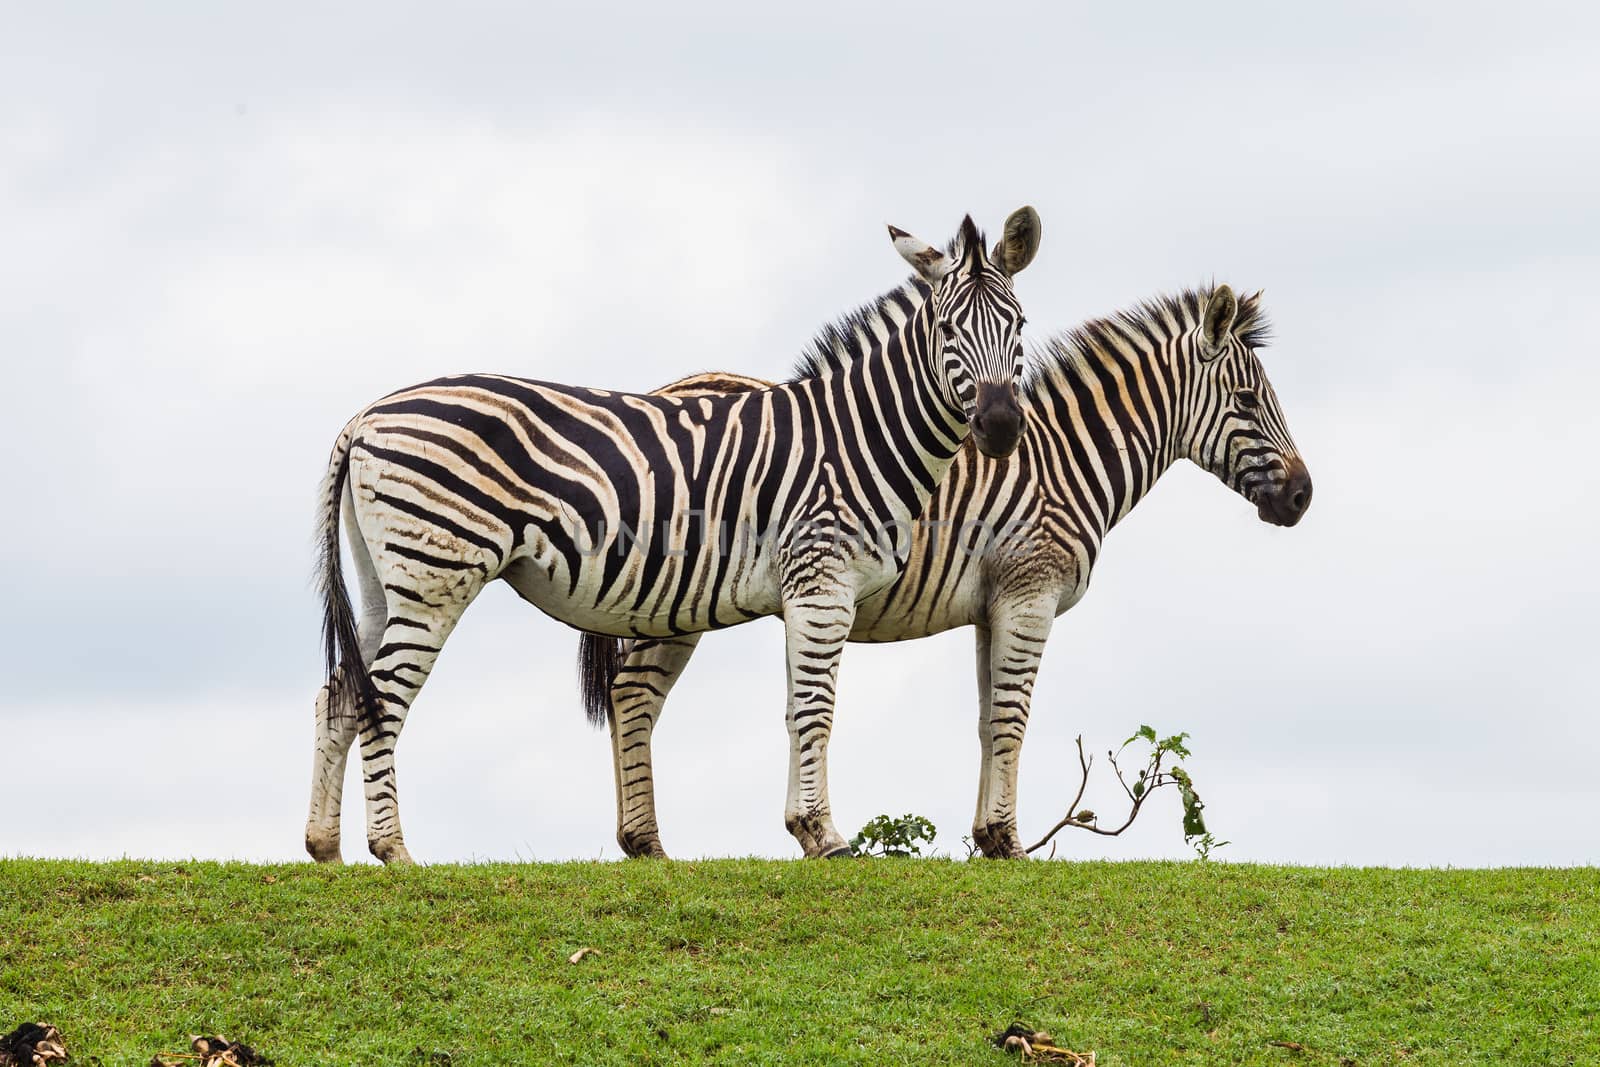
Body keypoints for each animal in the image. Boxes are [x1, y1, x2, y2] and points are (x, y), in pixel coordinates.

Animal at [305, 204, 1043, 863]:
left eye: (1020, 323)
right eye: (946, 327)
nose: (1001, 426)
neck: (858, 434)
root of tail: (365, 416)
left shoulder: (807, 593)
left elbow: (794, 708)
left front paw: (805, 832)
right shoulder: (821, 580)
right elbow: (815, 708)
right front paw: (827, 837)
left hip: (385, 580)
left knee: (340, 694)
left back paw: (324, 849)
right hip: (436, 571)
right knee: (382, 699)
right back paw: (394, 851)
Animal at [582, 283, 1305, 857]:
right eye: (1247, 399)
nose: (1303, 496)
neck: (1064, 460)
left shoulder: (994, 606)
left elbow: (988, 720)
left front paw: (987, 838)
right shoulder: (1030, 594)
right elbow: (1014, 717)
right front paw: (1009, 842)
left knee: (631, 694)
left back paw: (644, 845)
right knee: (635, 693)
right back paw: (650, 845)